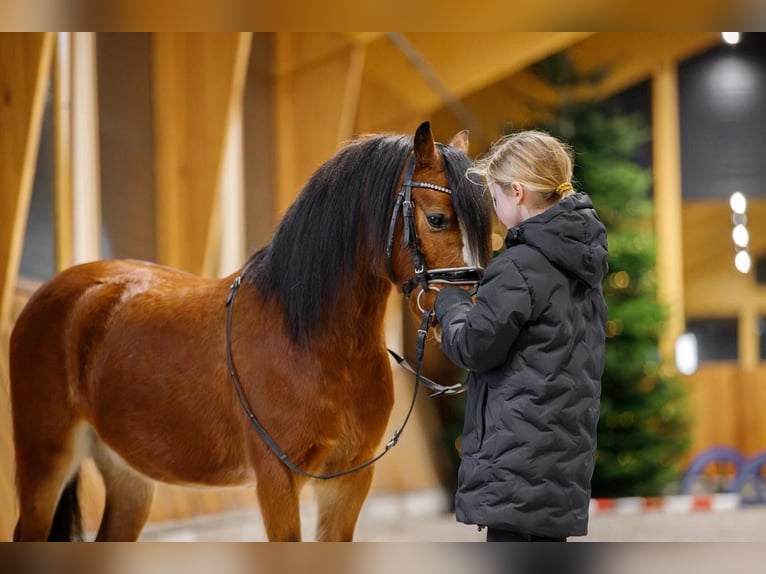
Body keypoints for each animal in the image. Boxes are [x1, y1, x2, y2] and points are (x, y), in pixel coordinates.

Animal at [7, 122, 492, 544]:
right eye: (436, 219)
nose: (474, 311)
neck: (311, 341)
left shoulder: (350, 480)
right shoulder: (278, 480)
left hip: (128, 475)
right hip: (45, 462)